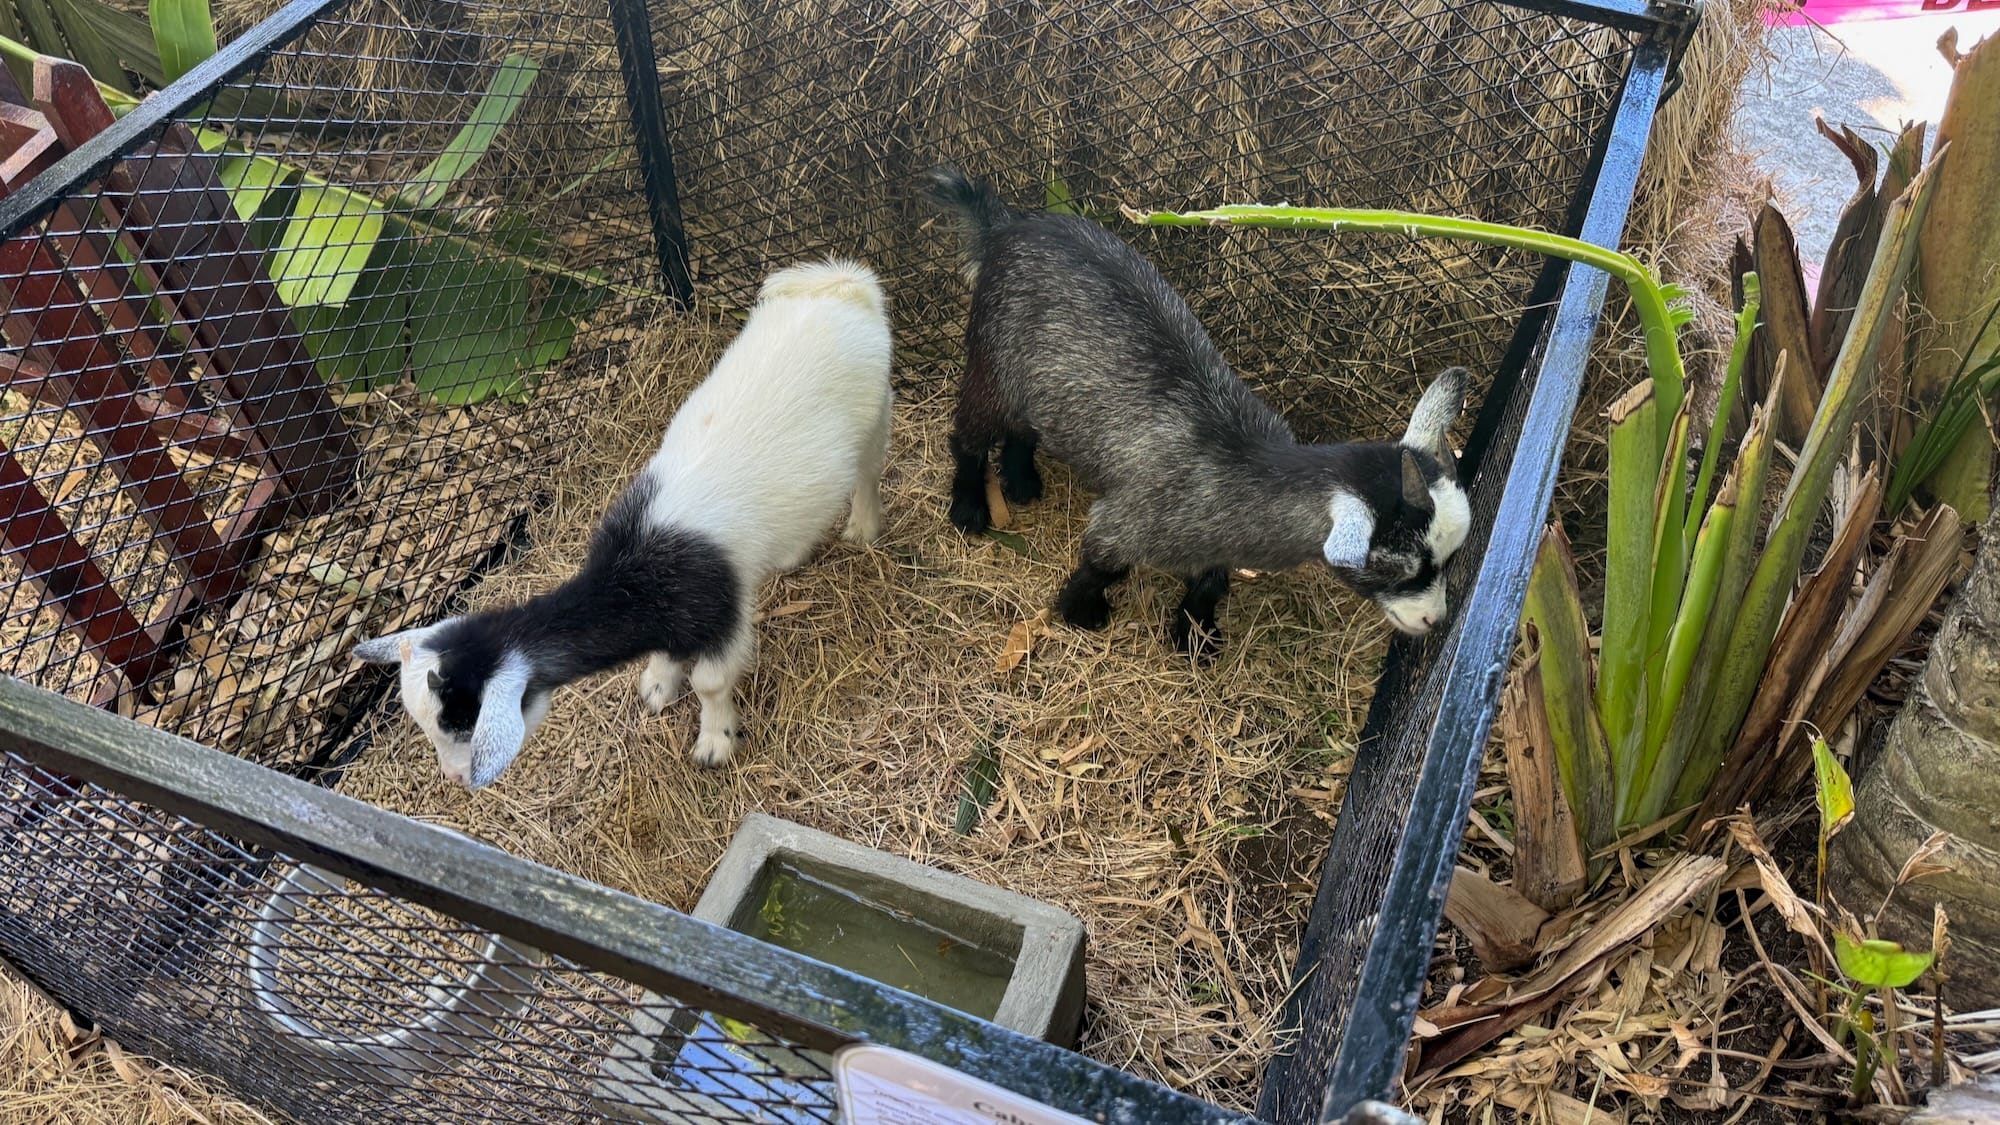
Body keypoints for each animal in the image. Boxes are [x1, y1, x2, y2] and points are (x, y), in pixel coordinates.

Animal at [352, 258, 895, 787]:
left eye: (463, 724)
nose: (453, 776)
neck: (637, 569)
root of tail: (844, 287)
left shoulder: (722, 612)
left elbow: (710, 682)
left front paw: (715, 742)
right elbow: (672, 657)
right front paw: (658, 683)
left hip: (877, 413)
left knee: (869, 472)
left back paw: (863, 529)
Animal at [921, 166, 1472, 653]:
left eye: (1448, 560)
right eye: (1396, 566)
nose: (1435, 620)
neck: (1239, 469)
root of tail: (1005, 228)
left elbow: (1212, 579)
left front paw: (1196, 632)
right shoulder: (1133, 516)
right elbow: (1104, 561)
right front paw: (1081, 610)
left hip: (1041, 382)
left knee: (1025, 427)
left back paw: (1021, 481)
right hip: (994, 358)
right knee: (970, 434)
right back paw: (969, 507)